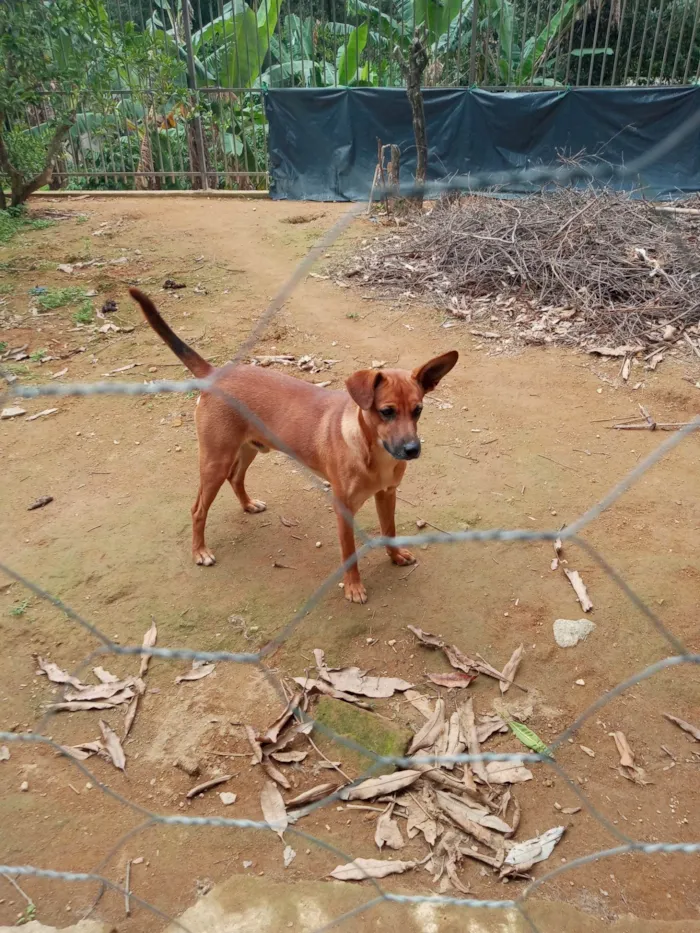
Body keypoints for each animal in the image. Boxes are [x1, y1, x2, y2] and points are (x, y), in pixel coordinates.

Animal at [130, 288, 460, 600]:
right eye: (387, 411)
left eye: (418, 410)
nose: (412, 450)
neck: (371, 450)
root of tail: (215, 373)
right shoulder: (344, 510)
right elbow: (349, 554)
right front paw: (353, 588)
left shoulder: (387, 494)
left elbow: (389, 530)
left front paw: (395, 556)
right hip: (215, 461)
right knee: (198, 509)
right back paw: (200, 551)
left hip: (248, 449)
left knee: (236, 478)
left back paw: (248, 505)